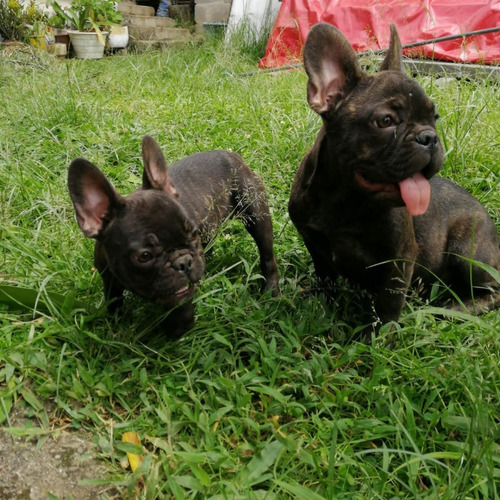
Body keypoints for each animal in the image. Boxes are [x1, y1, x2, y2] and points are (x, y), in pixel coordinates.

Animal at [68, 135, 280, 338]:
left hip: (256, 212)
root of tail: (231, 155)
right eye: (144, 256)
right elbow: (113, 298)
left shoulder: (180, 294)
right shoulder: (109, 278)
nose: (184, 262)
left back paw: (271, 290)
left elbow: (180, 307)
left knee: (267, 255)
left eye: (192, 233)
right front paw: (115, 320)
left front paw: (177, 331)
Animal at [290, 23, 500, 326]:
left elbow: (388, 304)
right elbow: (325, 279)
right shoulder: (315, 244)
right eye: (386, 121)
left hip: (467, 251)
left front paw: (378, 336)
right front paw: (323, 309)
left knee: (492, 290)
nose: (430, 137)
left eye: (434, 118)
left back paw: (457, 309)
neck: (344, 199)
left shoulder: (399, 258)